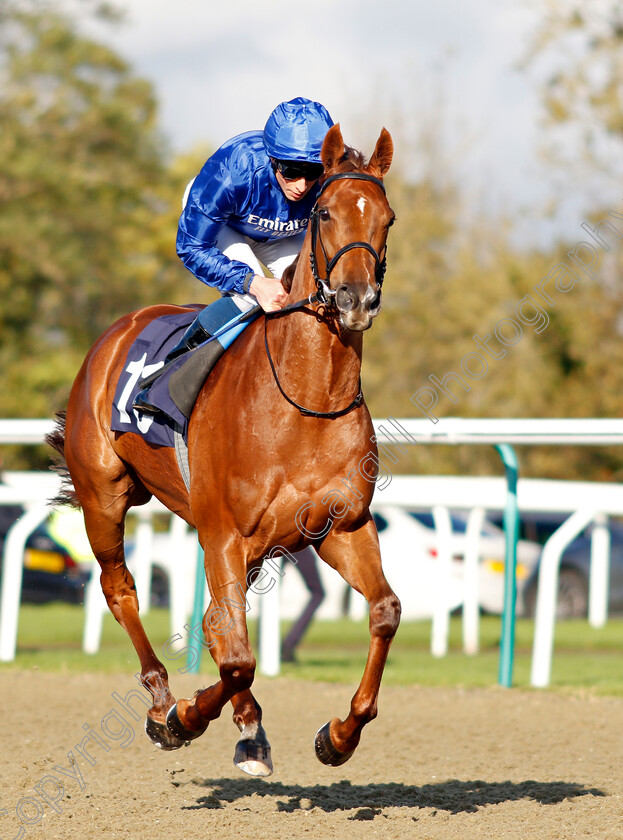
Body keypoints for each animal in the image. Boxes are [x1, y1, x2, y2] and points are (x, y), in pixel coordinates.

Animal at [47, 123, 400, 776]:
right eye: (327, 213)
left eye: (386, 217)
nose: (355, 299)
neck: (306, 400)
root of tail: (114, 334)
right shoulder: (225, 534)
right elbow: (237, 657)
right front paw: (183, 718)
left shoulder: (340, 526)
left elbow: (383, 611)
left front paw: (339, 734)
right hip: (104, 497)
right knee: (122, 589)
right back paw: (162, 699)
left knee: (216, 622)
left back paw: (247, 727)